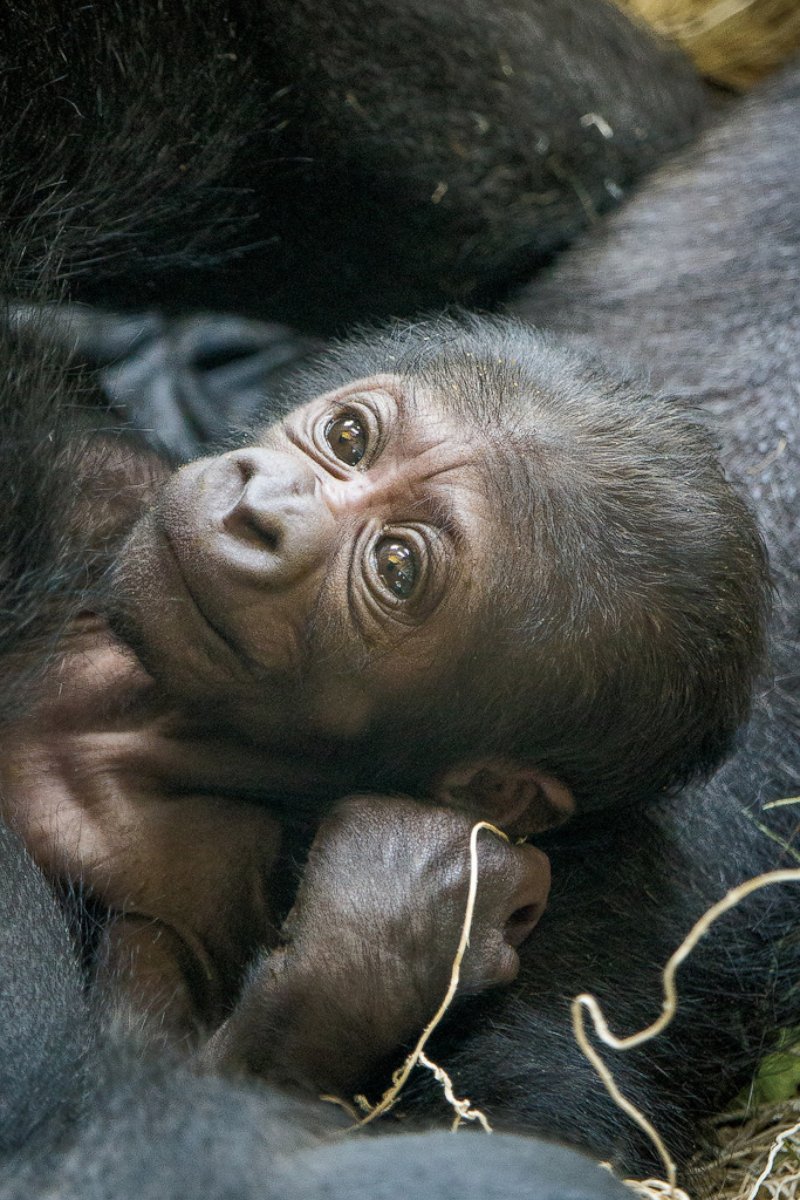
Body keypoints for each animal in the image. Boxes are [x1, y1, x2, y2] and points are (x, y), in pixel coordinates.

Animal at [0, 314, 767, 1094]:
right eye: (347, 438)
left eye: (396, 566)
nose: (259, 510)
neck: (149, 716)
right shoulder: (110, 488)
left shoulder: (206, 887)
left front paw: (385, 931)